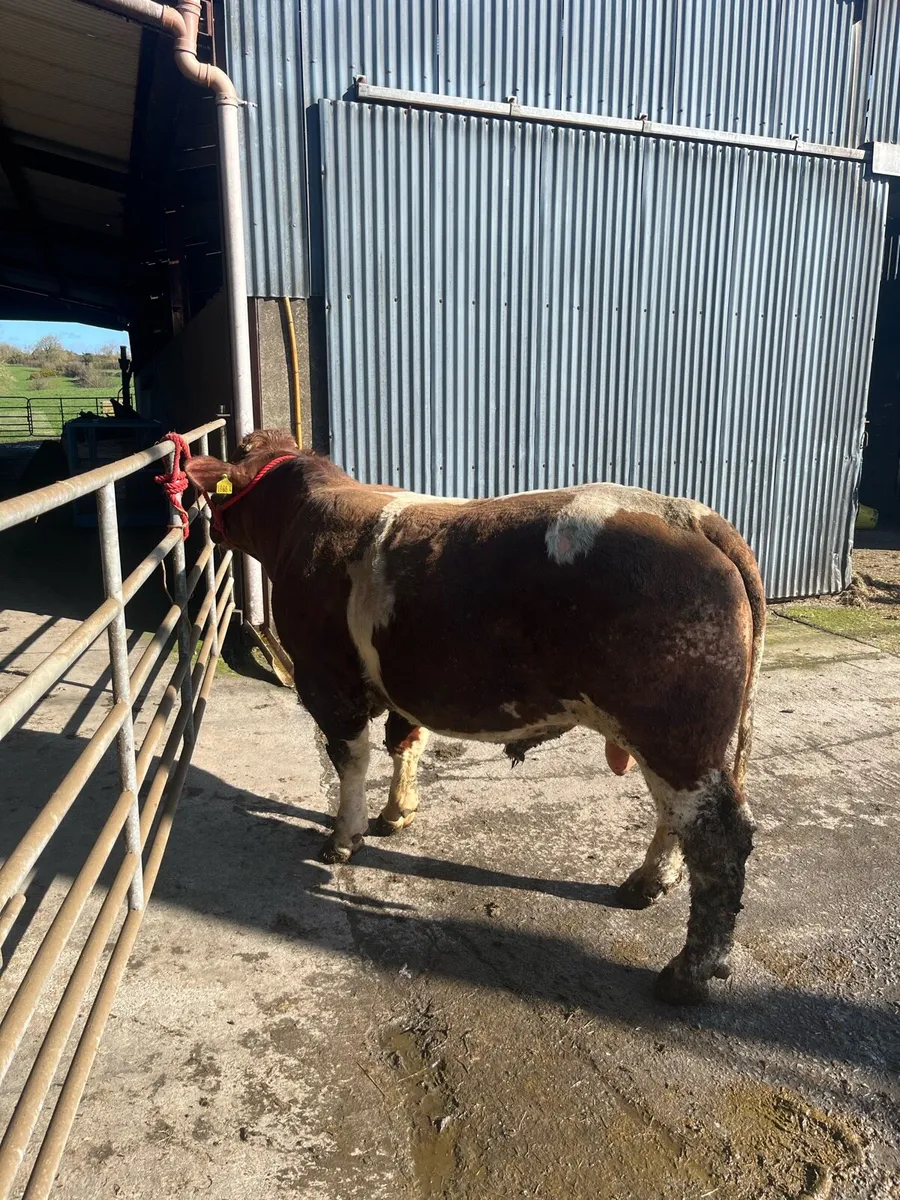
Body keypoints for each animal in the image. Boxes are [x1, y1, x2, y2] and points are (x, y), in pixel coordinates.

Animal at [186, 430, 766, 1006]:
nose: (204, 524)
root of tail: (685, 513)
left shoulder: (326, 679)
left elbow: (350, 761)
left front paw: (343, 838)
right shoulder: (405, 682)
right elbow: (405, 741)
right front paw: (397, 812)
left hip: (675, 729)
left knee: (718, 837)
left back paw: (686, 973)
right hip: (667, 737)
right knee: (677, 816)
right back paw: (646, 884)